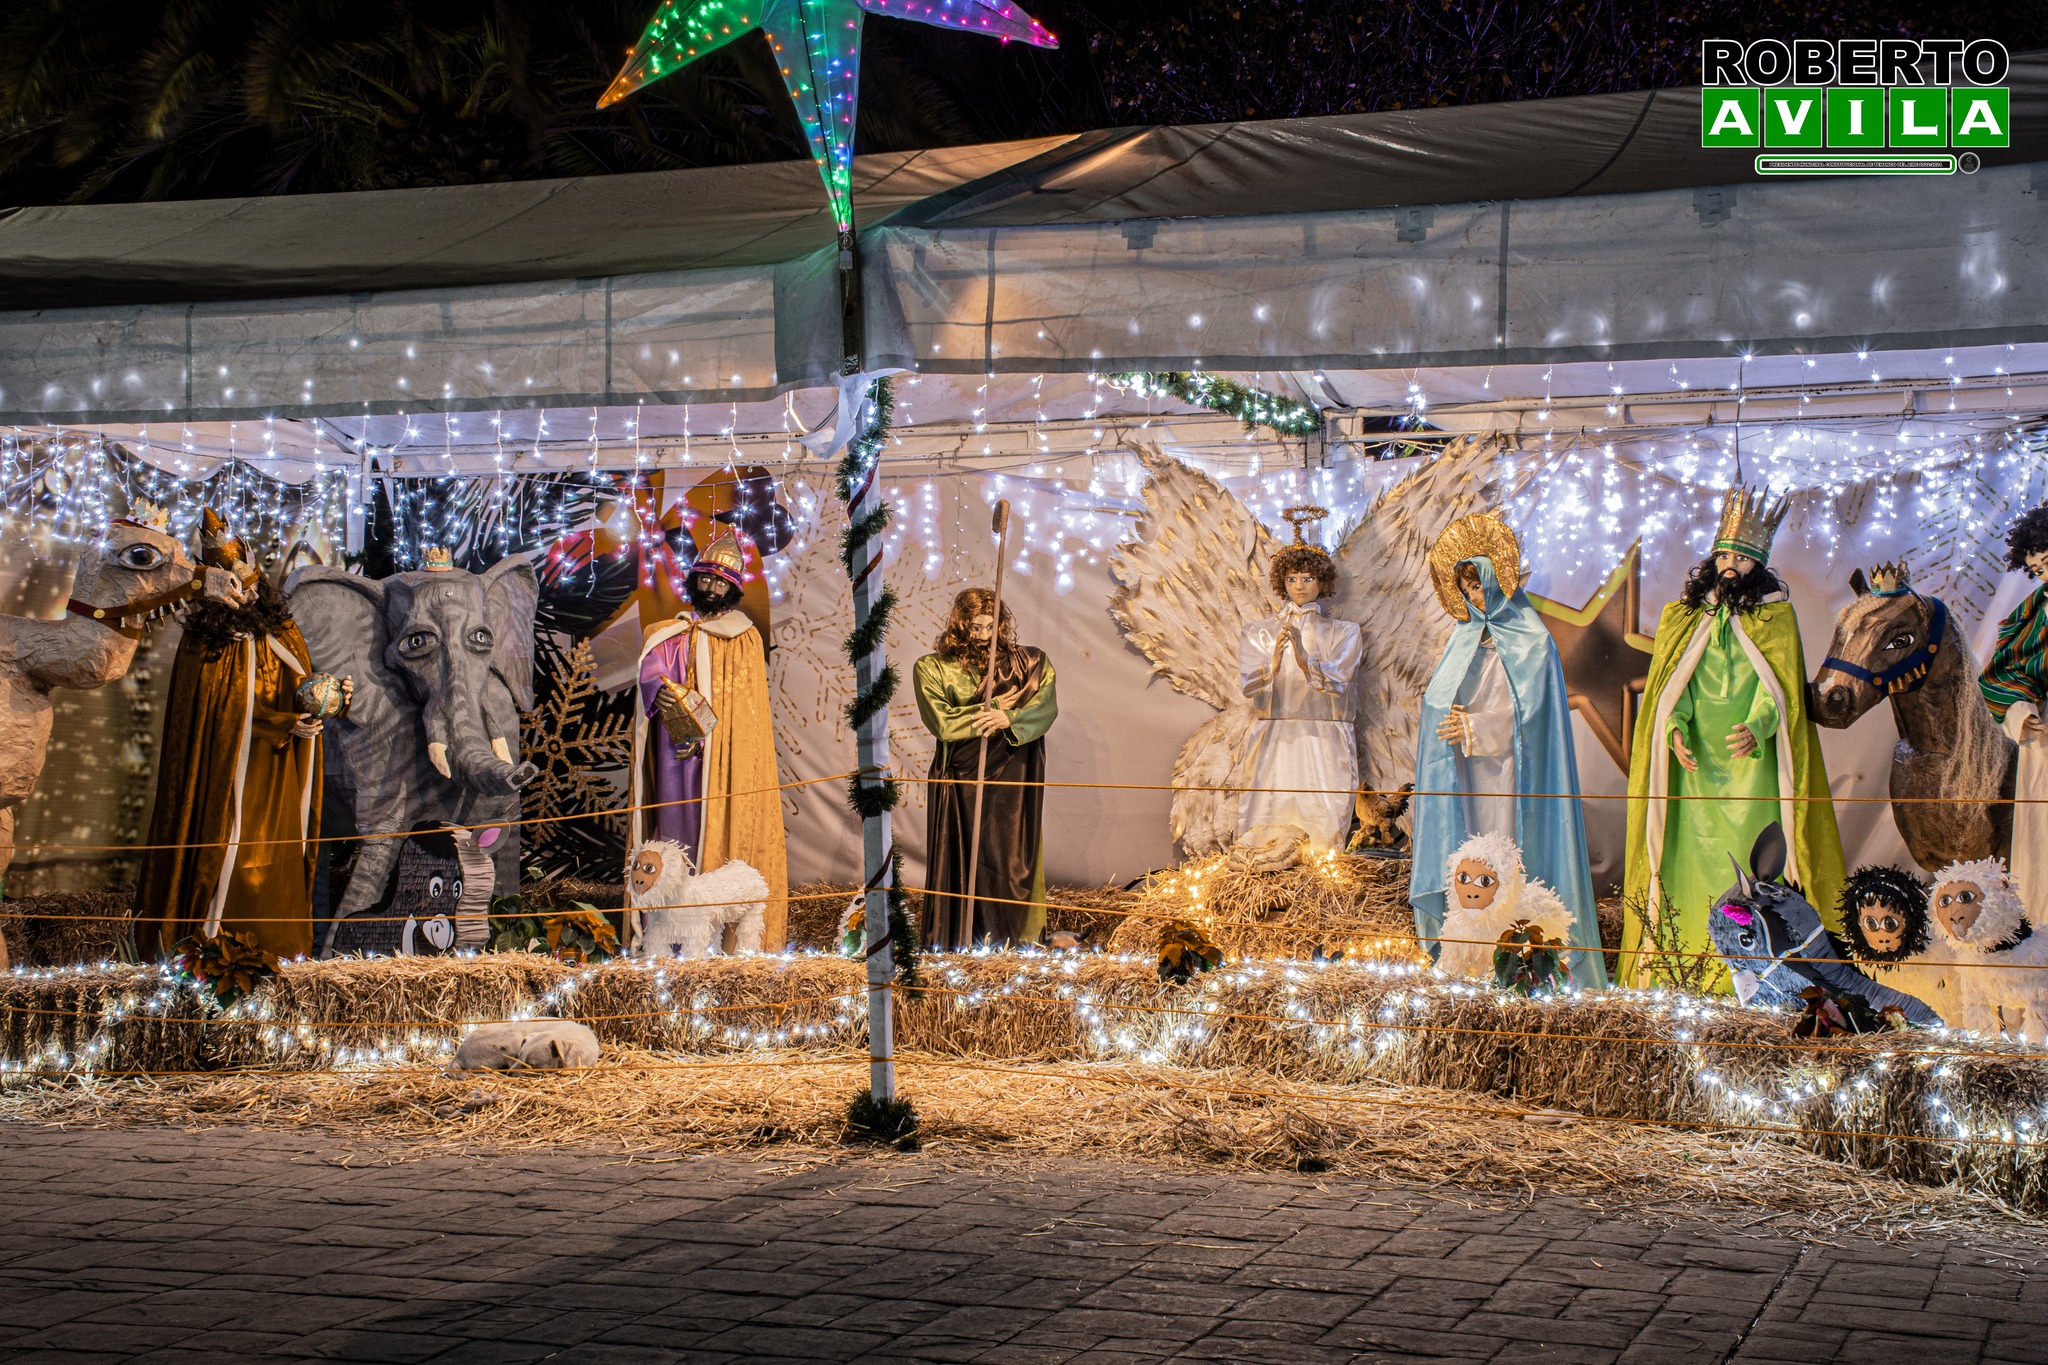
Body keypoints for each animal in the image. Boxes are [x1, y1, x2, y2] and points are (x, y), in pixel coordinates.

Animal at [622, 843, 770, 961]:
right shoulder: (657, 927)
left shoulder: (695, 928)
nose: (638, 881)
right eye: (635, 866)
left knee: (749, 933)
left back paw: (747, 952)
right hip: (715, 921)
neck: (677, 898)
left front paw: (693, 959)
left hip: (753, 912)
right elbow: (656, 945)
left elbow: (693, 946)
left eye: (649, 868)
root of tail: (747, 868)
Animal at [1916, 855, 2048, 1047]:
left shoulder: (2039, 998)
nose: (1954, 918)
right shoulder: (1976, 996)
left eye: (1965, 896)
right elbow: (1981, 1024)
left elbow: (2038, 1029)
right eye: (1944, 901)